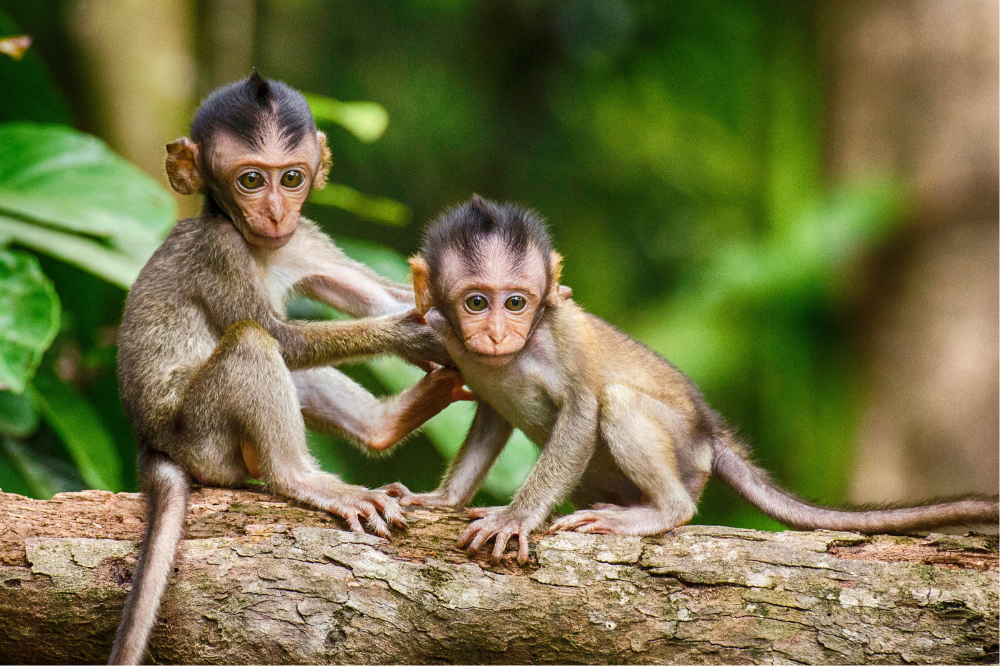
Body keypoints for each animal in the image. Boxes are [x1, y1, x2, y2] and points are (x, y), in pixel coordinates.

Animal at [109, 73, 469, 666]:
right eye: (251, 180)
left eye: (292, 177)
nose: (276, 212)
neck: (258, 246)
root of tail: (150, 442)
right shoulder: (219, 249)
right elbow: (277, 336)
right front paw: (415, 334)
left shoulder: (305, 238)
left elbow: (378, 297)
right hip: (201, 436)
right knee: (253, 344)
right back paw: (302, 479)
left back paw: (385, 425)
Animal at [384, 195, 1000, 566]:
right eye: (477, 302)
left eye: (516, 302)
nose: (496, 333)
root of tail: (710, 433)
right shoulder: (450, 342)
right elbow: (490, 415)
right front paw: (441, 499)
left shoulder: (558, 335)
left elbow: (583, 410)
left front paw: (515, 517)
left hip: (685, 451)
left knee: (619, 403)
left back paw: (663, 511)